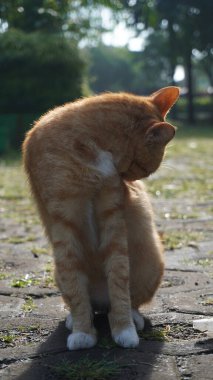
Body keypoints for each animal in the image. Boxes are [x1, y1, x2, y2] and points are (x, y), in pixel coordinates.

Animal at [22, 86, 179, 350]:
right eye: (143, 168)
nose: (131, 183)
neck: (92, 143)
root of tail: (101, 302)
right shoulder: (63, 222)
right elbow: (75, 284)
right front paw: (83, 332)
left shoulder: (112, 216)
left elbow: (118, 279)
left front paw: (124, 329)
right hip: (58, 272)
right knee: (82, 299)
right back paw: (74, 319)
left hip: (150, 265)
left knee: (127, 301)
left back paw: (131, 317)